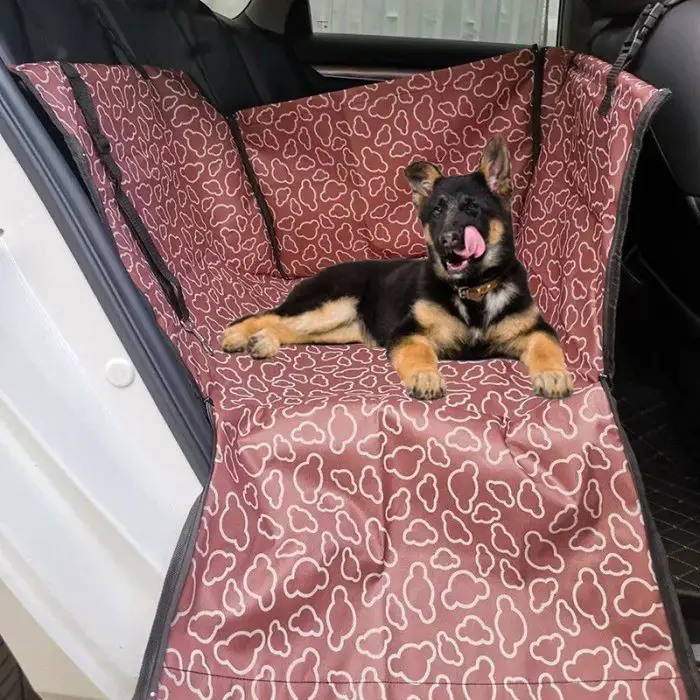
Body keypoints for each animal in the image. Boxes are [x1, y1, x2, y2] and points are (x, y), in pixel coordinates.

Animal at [224, 137, 576, 400]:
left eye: (472, 208)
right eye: (437, 212)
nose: (447, 241)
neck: (472, 290)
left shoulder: (535, 330)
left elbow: (547, 347)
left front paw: (554, 374)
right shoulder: (409, 333)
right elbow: (419, 354)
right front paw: (425, 377)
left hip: (337, 329)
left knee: (291, 330)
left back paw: (263, 342)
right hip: (327, 307)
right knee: (268, 315)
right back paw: (237, 335)